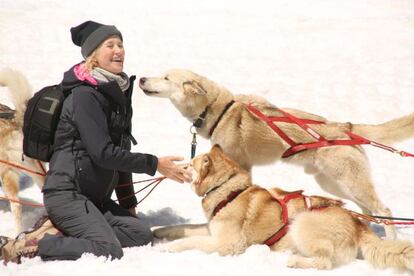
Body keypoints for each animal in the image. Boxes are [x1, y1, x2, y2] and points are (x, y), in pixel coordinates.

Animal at [153, 144, 414, 272]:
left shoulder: (228, 243)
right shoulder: (211, 229)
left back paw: (294, 262)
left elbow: (191, 241)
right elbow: (184, 228)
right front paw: (159, 232)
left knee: (324, 263)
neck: (228, 189)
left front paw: (169, 247)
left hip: (303, 223)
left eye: (191, 165)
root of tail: (358, 224)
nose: (180, 166)